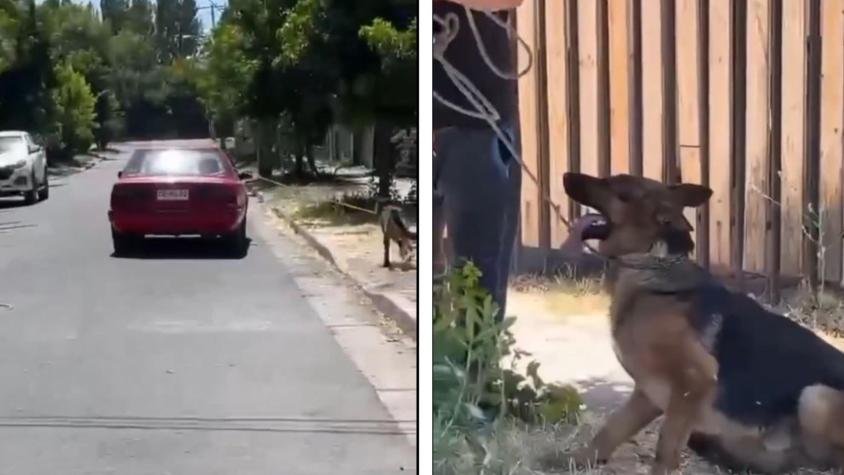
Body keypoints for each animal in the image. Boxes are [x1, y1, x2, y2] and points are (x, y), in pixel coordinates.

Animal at [560, 173, 844, 474]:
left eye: (618, 187)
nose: (566, 176)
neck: (650, 264)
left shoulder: (692, 381)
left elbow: (665, 449)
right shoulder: (649, 393)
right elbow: (610, 431)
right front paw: (576, 460)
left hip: (815, 397)